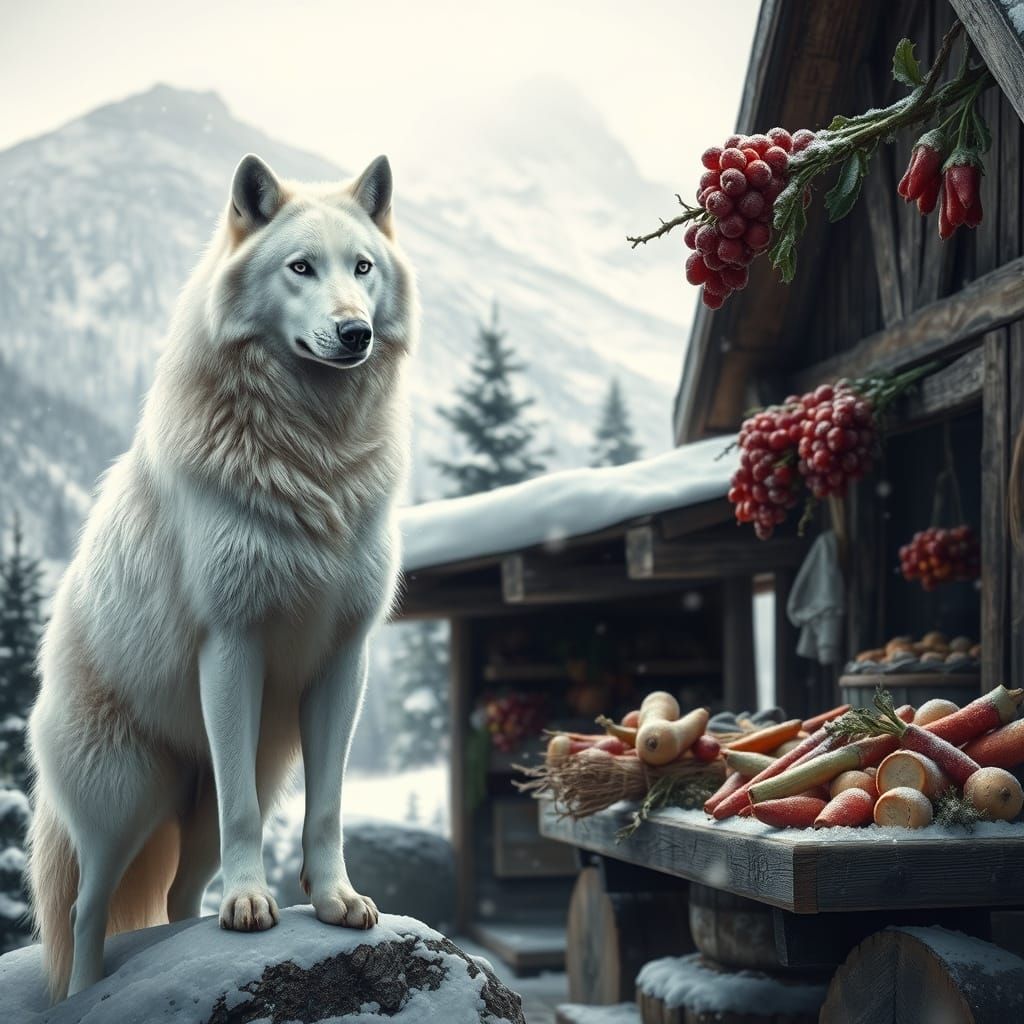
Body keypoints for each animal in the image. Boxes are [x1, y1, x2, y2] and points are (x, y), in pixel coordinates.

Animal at [24, 151, 417, 1001]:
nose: (355, 332)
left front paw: (335, 900)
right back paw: (87, 991)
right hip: (123, 802)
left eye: (362, 268)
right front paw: (247, 904)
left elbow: (328, 808)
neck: (315, 458)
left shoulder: (346, 658)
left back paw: (183, 940)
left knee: (175, 897)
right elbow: (245, 817)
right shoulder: (232, 645)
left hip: (199, 811)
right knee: (83, 912)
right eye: (300, 267)